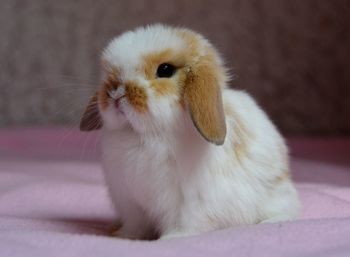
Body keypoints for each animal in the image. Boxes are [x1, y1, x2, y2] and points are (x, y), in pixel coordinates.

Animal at [80, 25, 300, 239]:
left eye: (165, 70)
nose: (116, 93)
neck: (143, 134)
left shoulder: (187, 203)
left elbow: (184, 224)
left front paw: (171, 239)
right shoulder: (131, 204)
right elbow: (136, 226)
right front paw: (123, 236)